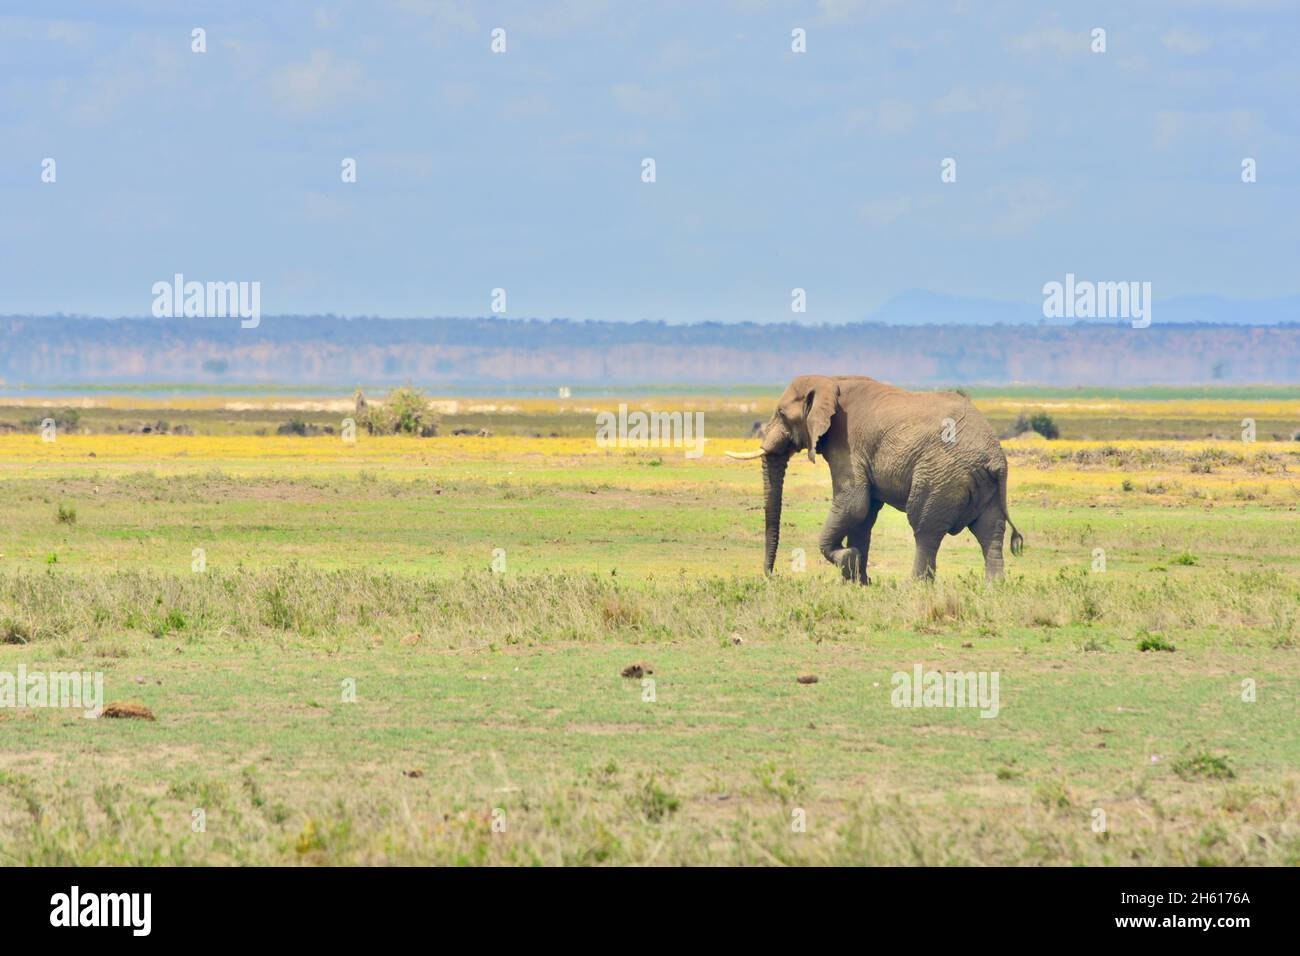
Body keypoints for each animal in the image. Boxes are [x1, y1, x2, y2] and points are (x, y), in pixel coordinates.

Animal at [728, 374, 1019, 582]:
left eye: (781, 414)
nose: (771, 576)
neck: (831, 380)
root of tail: (996, 459)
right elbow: (864, 514)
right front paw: (857, 582)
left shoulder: (847, 444)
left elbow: (854, 503)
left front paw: (849, 561)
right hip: (984, 486)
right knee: (990, 531)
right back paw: (994, 586)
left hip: (941, 475)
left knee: (925, 528)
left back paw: (914, 586)